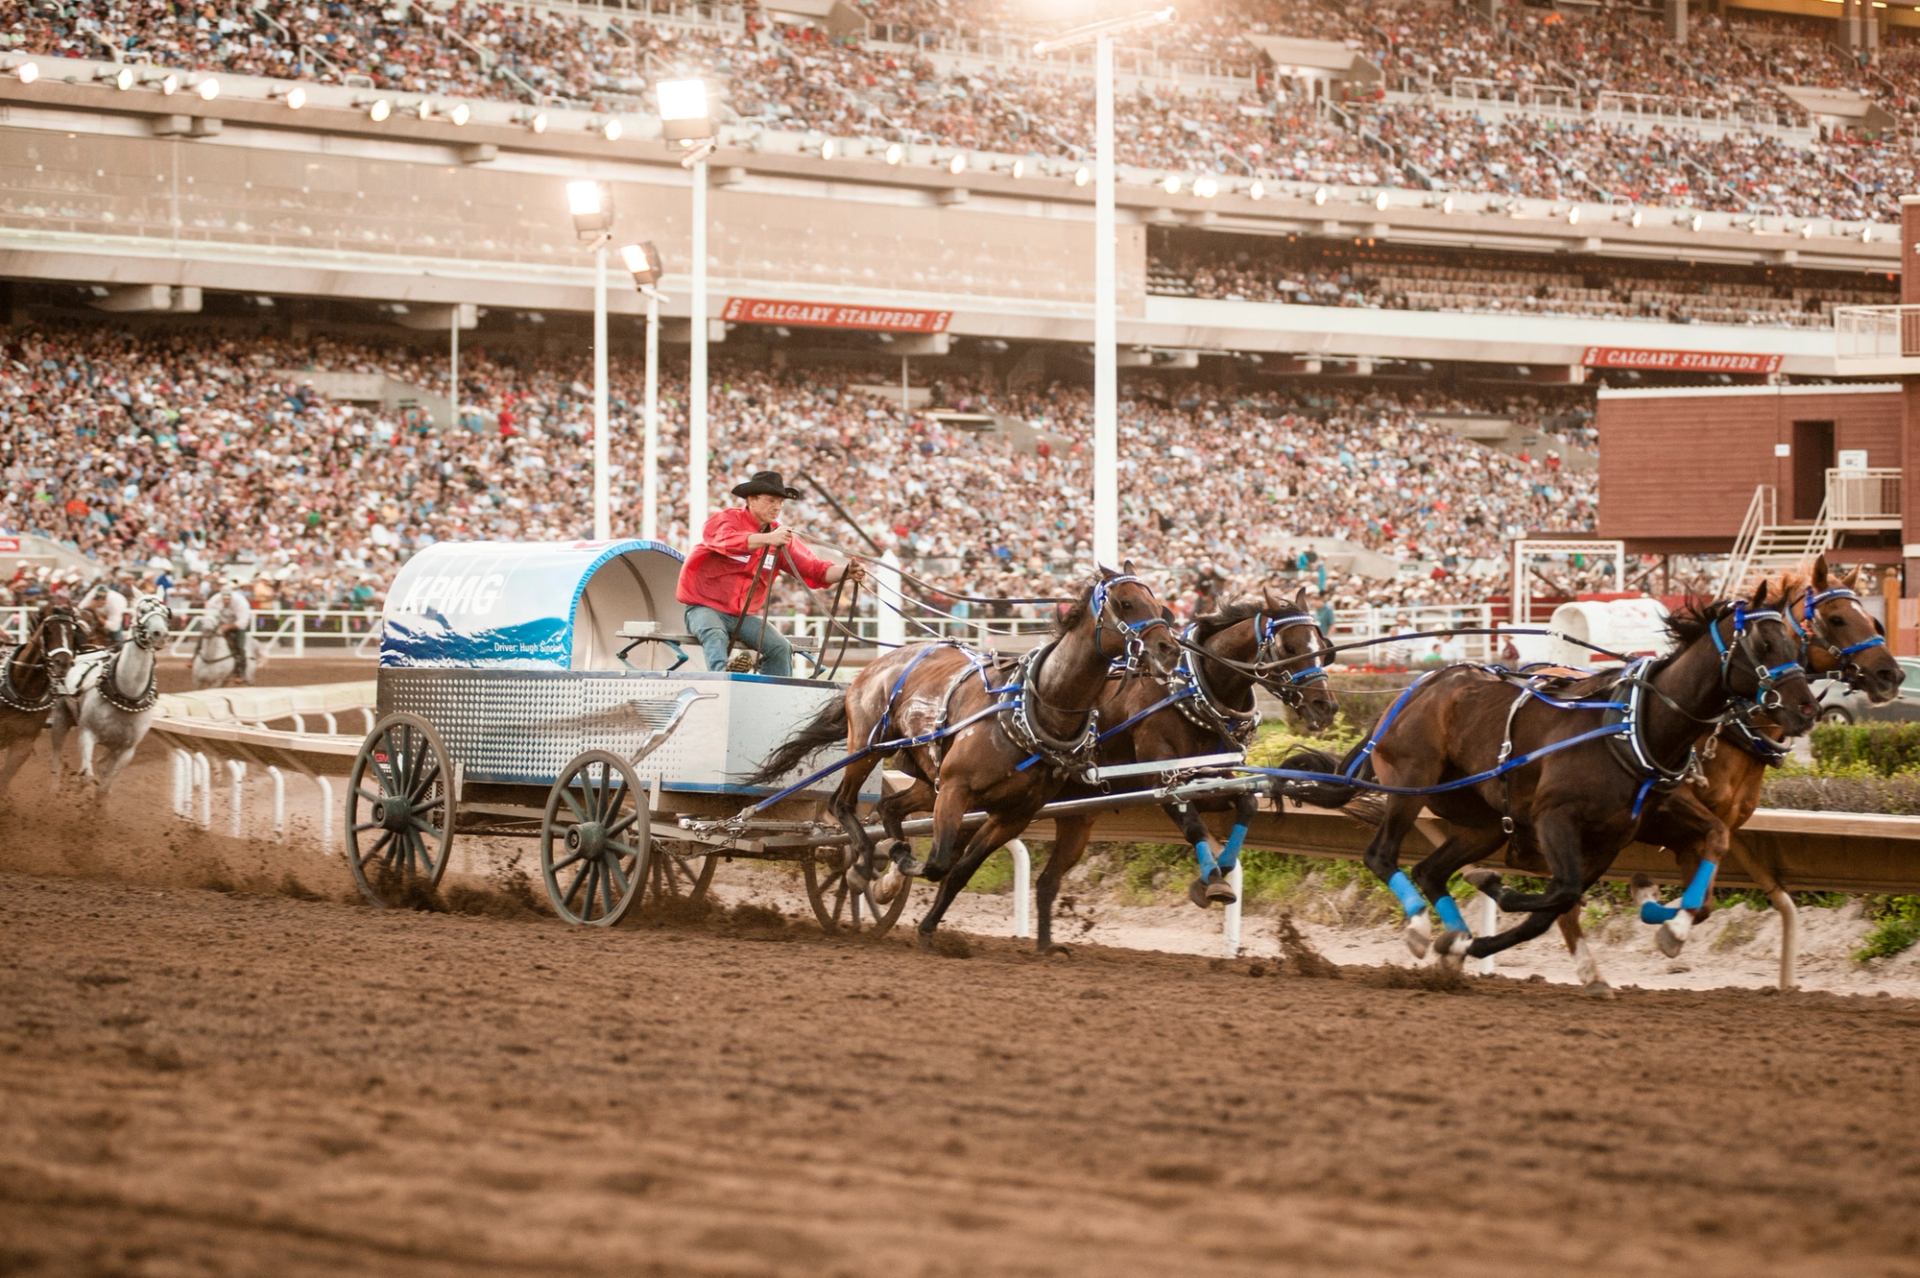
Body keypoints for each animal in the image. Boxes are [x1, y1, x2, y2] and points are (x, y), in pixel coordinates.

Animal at [51, 591, 168, 790]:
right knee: (56, 760)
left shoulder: (126, 751)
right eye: (142, 610)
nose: (159, 634)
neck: (127, 696)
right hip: (60, 719)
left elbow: (104, 787)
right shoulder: (87, 733)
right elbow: (87, 777)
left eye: (167, 613)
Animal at [741, 568, 1175, 944]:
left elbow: (960, 868)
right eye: (1125, 602)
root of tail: (873, 666)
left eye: (1160, 604)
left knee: (888, 807)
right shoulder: (955, 790)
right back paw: (864, 865)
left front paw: (927, 926)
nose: (1168, 648)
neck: (1030, 707)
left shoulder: (1014, 814)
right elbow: (938, 861)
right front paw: (892, 878)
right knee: (842, 803)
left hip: (923, 775)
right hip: (866, 747)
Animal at [1036, 583, 1336, 944]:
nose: (1325, 706)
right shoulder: (1162, 778)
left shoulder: (1210, 778)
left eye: (1323, 647)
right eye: (1289, 646)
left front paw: (1215, 874)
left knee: (1046, 880)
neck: (1190, 693)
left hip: (1074, 815)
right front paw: (1214, 881)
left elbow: (1247, 804)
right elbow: (1193, 824)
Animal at [1274, 587, 1812, 967]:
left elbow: (1560, 905)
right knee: (1382, 855)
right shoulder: (1556, 818)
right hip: (1410, 782)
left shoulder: (1617, 835)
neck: (1633, 726)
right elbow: (1562, 891)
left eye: (1798, 643)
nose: (1806, 708)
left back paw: (1455, 934)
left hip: (1481, 819)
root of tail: (1418, 688)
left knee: (1429, 870)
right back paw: (1422, 929)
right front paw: (1496, 891)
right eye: (1765, 643)